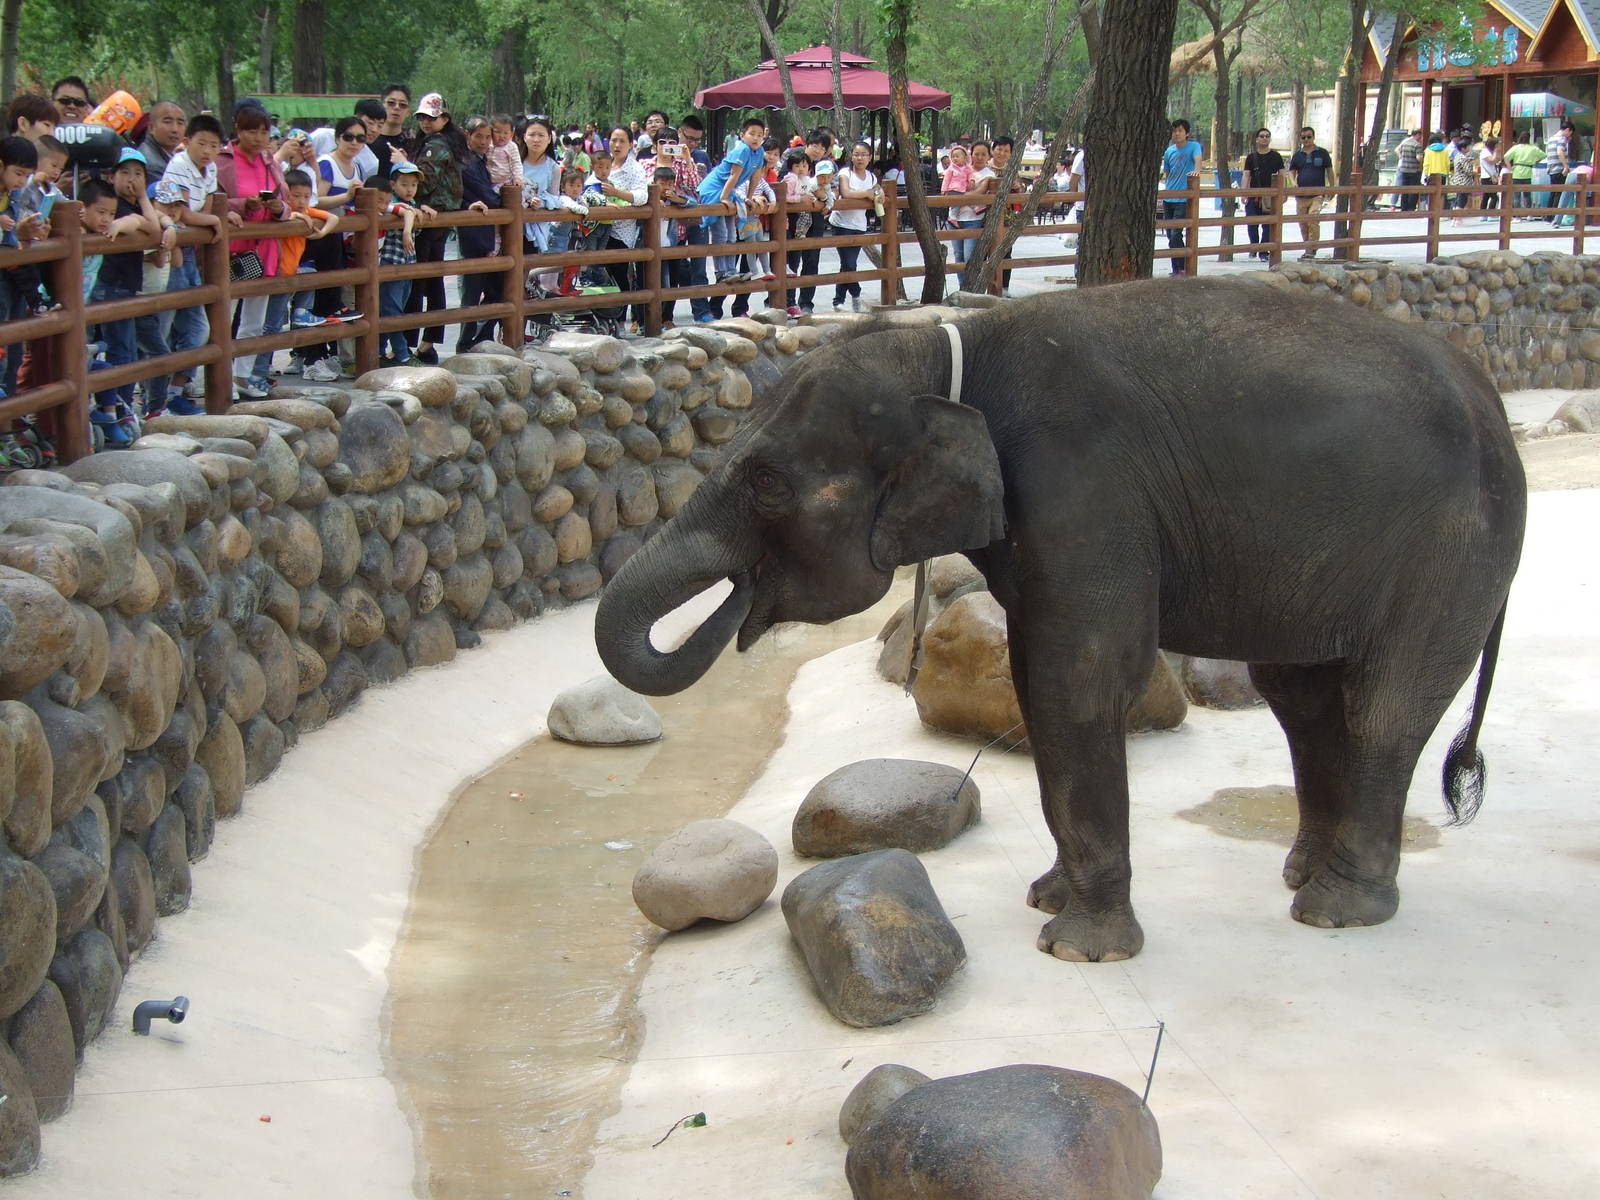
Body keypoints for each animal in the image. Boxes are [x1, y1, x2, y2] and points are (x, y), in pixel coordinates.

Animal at [594, 276, 1526, 962]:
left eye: (766, 483)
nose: (738, 607)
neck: (950, 344)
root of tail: (1492, 399)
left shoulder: (1083, 483)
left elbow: (1075, 677)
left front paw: (1079, 948)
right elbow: (1034, 682)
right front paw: (1048, 899)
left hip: (1454, 551)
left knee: (1382, 707)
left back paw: (1337, 911)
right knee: (1301, 698)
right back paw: (1301, 876)